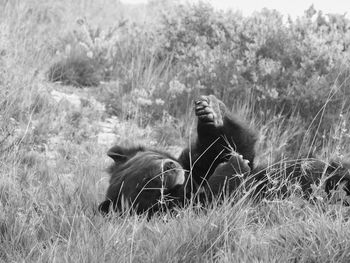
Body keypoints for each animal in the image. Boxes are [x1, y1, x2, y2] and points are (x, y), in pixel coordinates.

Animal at [98, 95, 258, 217]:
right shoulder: (170, 210)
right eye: (147, 181)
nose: (170, 166)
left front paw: (211, 112)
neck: (185, 185)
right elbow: (208, 205)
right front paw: (235, 166)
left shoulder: (194, 167)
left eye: (155, 157)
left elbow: (226, 149)